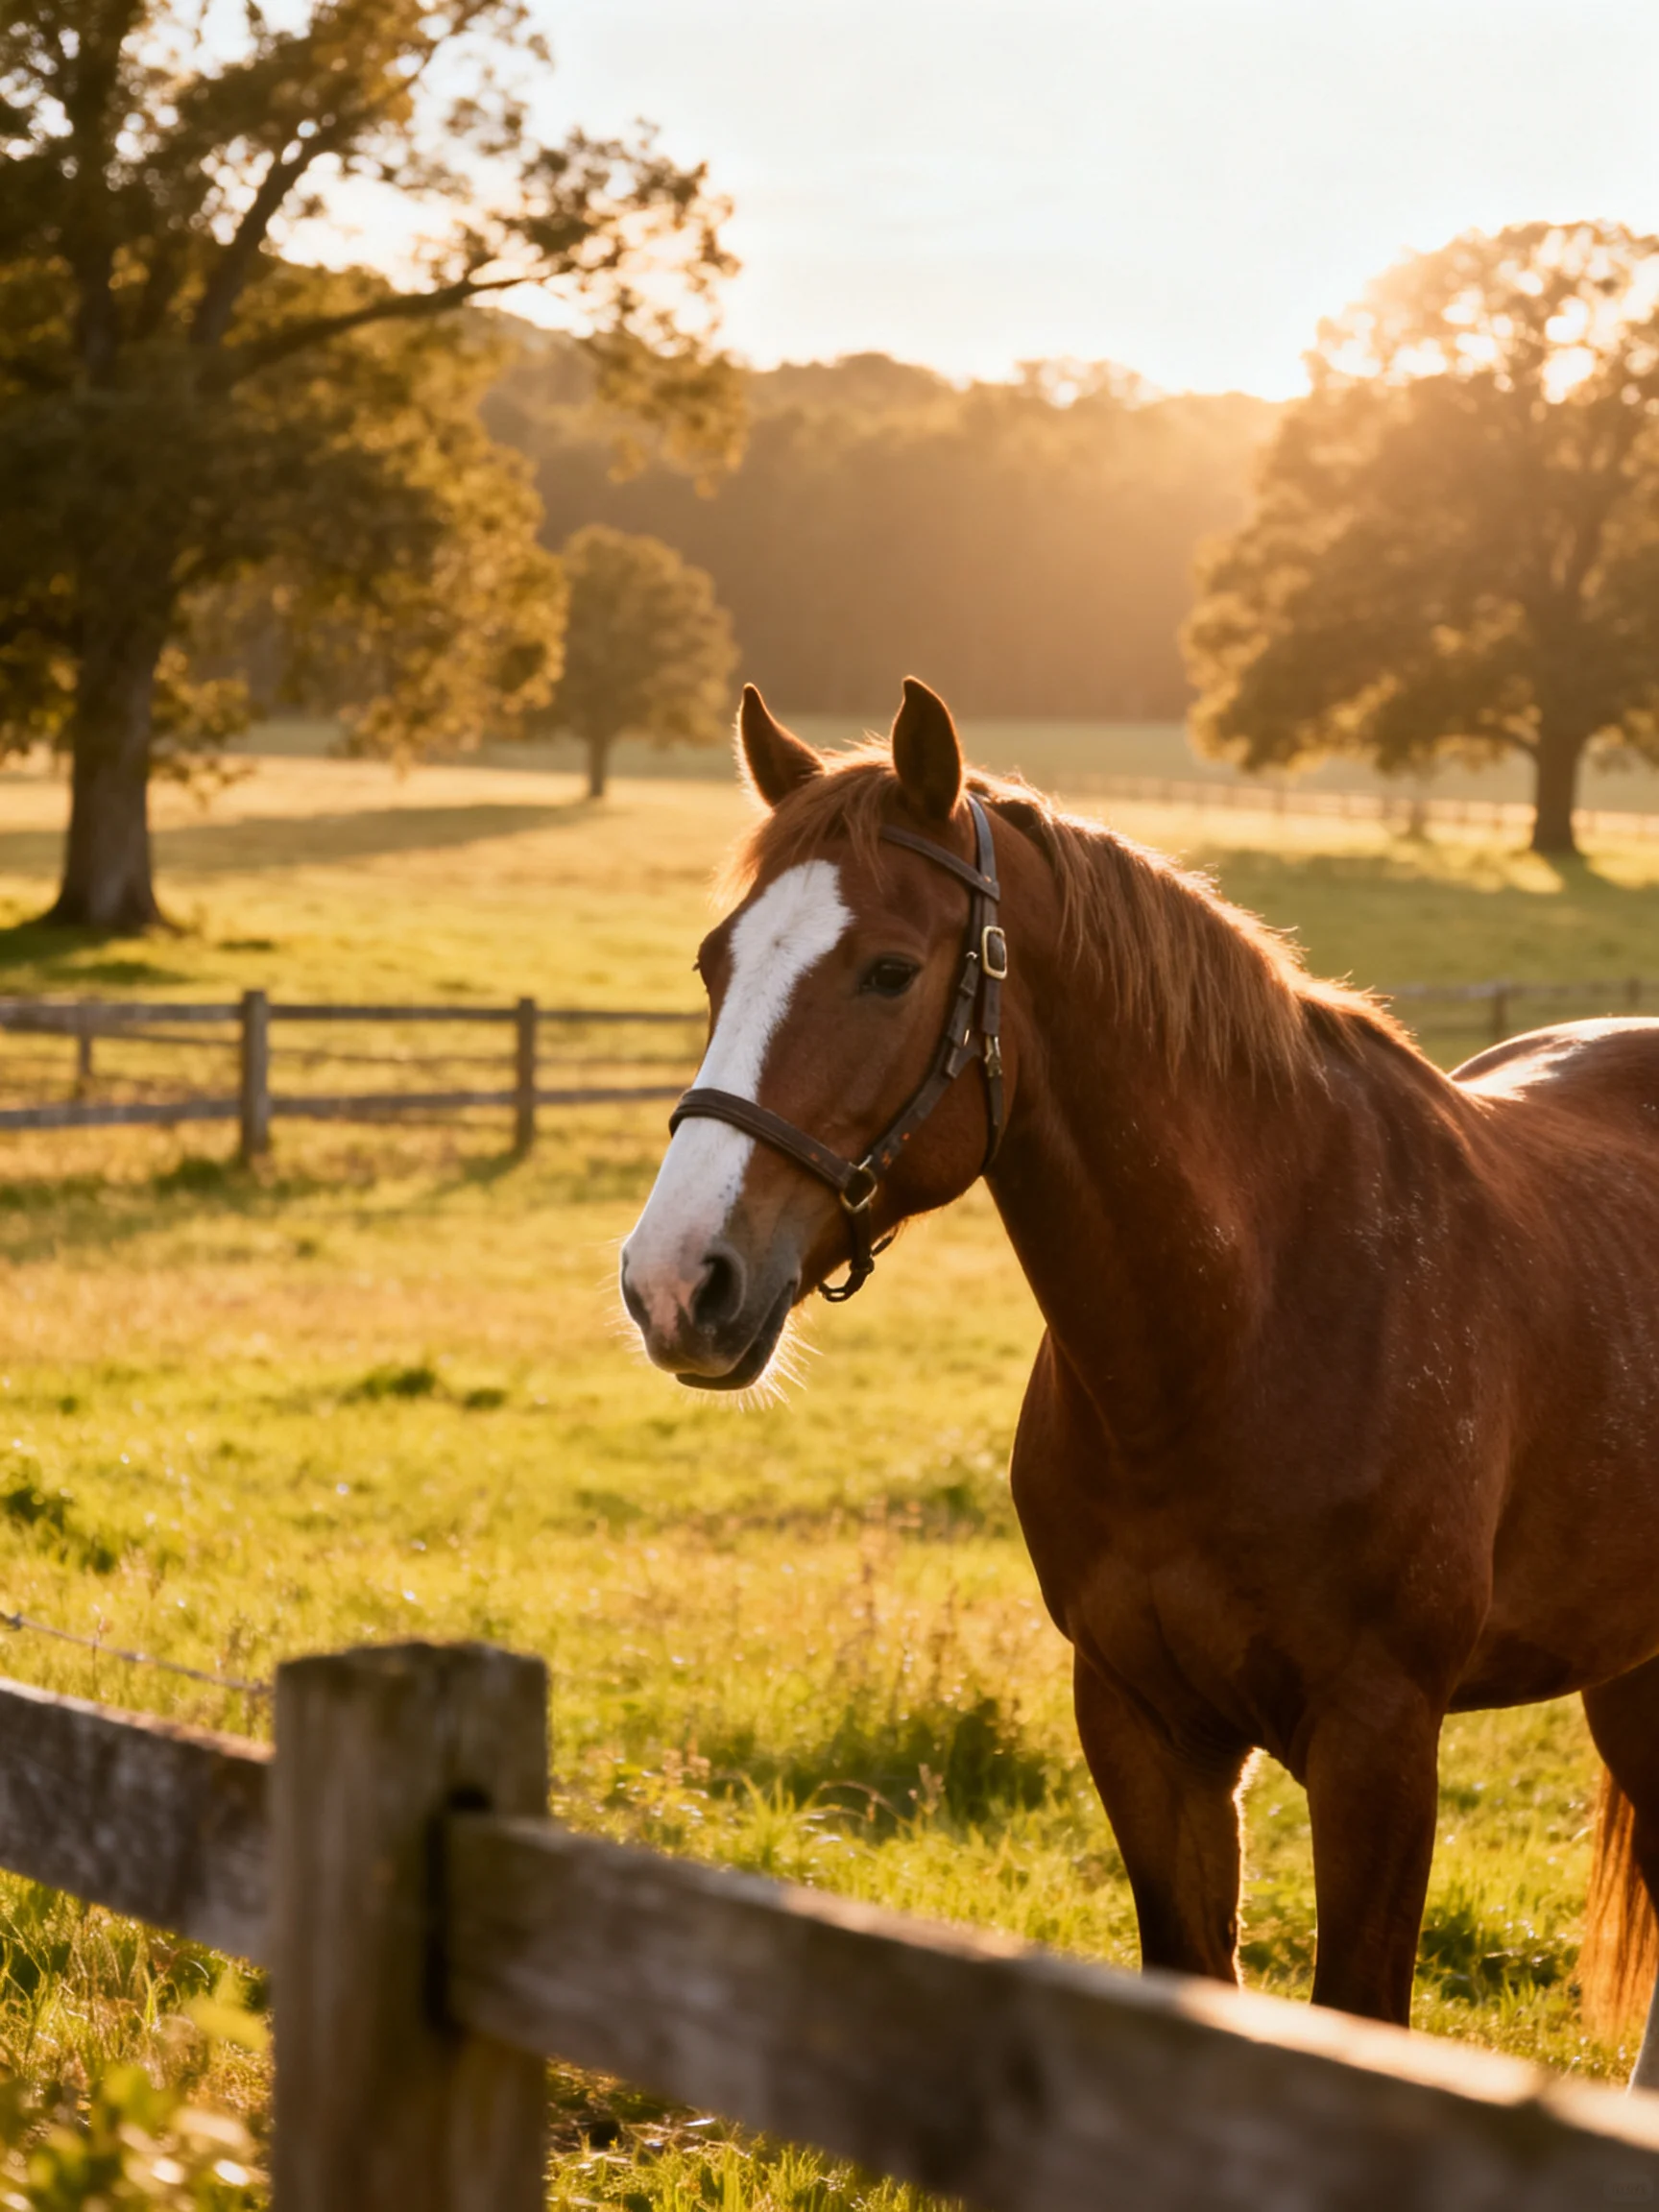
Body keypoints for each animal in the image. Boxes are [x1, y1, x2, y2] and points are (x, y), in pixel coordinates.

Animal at [619, 675, 1659, 2068]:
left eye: (889, 972)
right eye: (715, 964)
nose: (676, 1282)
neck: (1243, 1334)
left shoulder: (1379, 1741)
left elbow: (1360, 2009)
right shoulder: (1142, 1726)